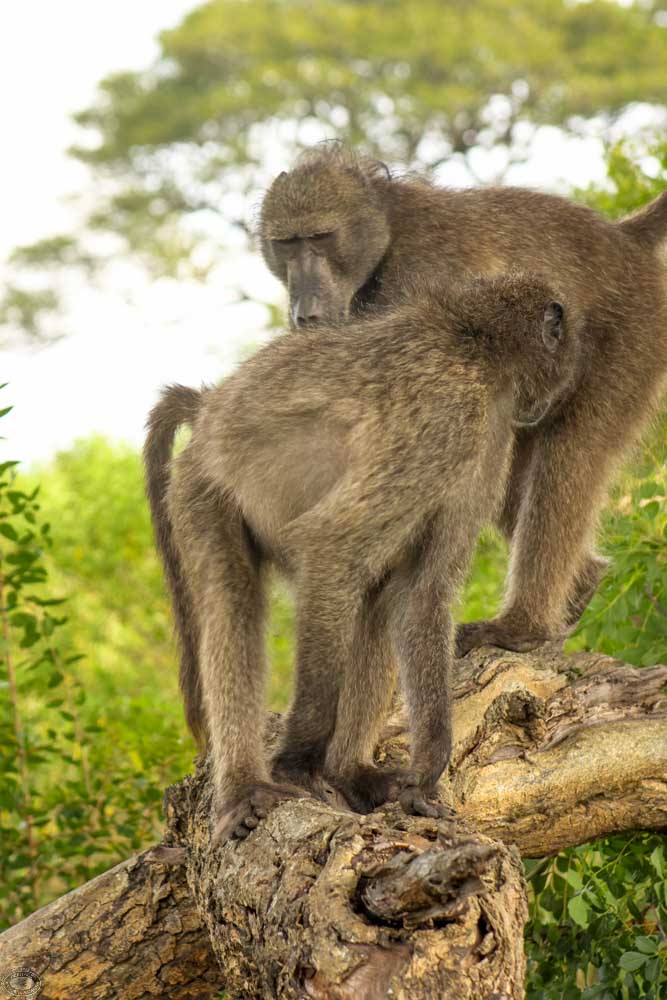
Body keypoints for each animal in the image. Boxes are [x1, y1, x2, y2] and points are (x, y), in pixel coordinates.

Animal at [145, 273, 582, 842]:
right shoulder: (451, 415)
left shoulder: (484, 445)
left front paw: (425, 773)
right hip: (202, 487)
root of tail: (209, 405)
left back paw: (347, 769)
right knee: (235, 605)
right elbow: (332, 543)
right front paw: (296, 762)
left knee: (376, 597)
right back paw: (247, 788)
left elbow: (421, 595)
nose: (560, 389)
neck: (472, 345)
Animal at [258, 143, 667, 656]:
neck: (389, 233)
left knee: (571, 453)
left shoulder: (428, 276)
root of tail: (621, 237)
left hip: (630, 341)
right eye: (287, 244)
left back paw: (522, 627)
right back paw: (582, 585)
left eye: (321, 237)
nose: (304, 311)